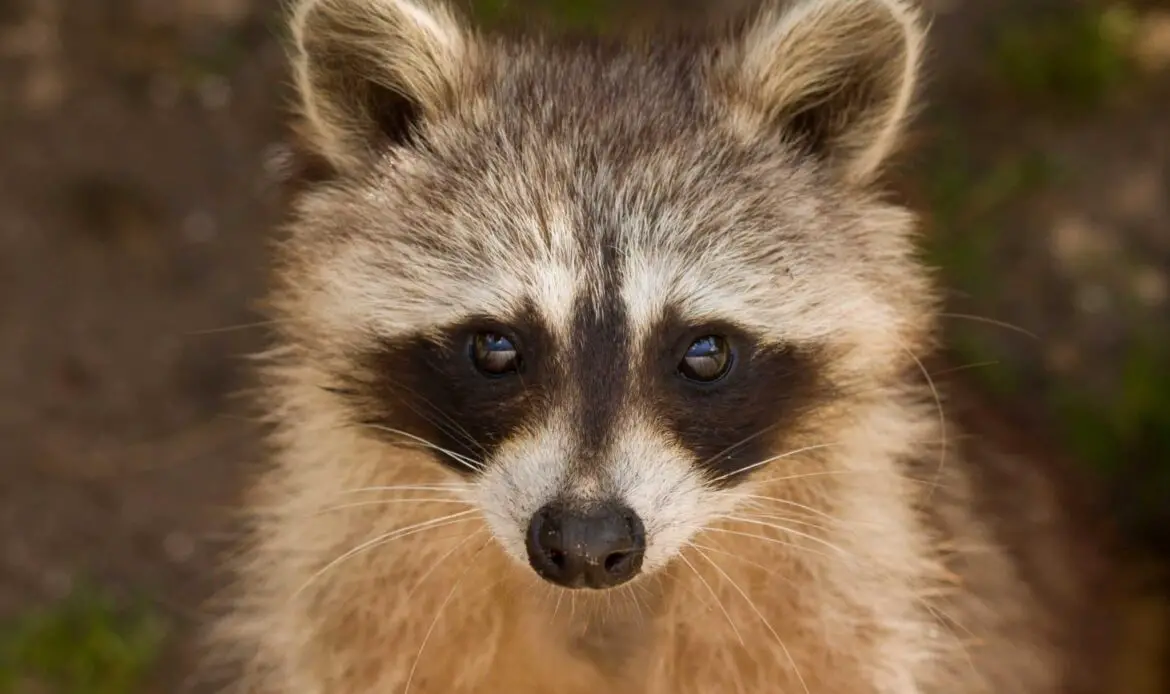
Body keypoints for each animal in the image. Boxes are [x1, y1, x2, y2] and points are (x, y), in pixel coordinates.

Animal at [210, 0, 1113, 688]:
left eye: (704, 353)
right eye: (496, 347)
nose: (584, 546)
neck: (598, 611)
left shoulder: (857, 615)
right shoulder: (350, 603)